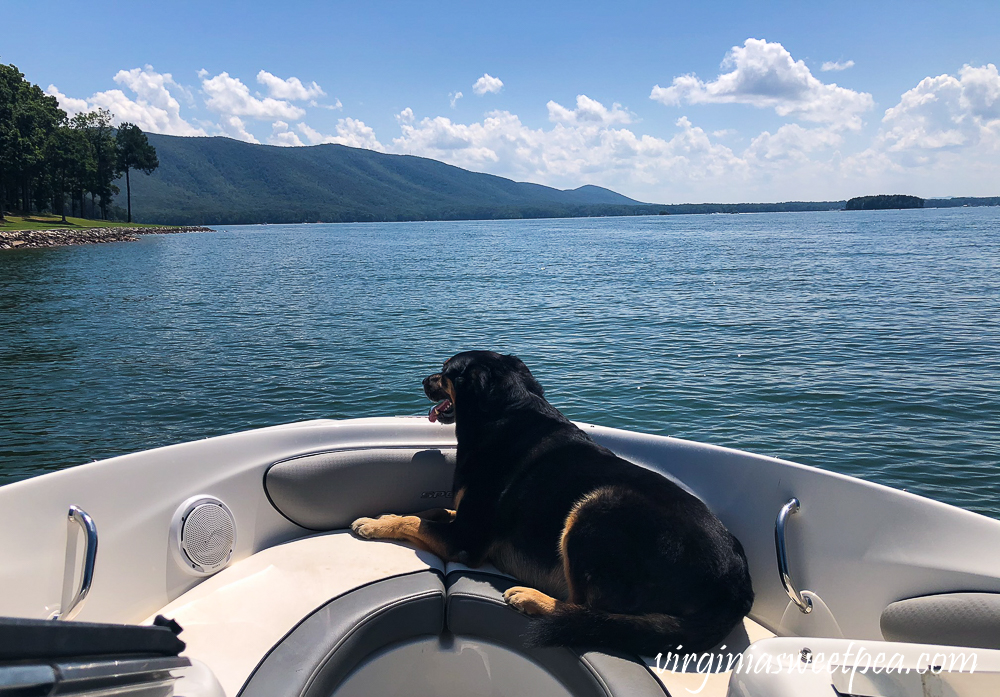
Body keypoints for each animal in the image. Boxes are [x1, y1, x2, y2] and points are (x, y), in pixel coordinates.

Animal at [352, 350, 752, 656]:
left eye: (448, 371)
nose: (423, 380)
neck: (504, 411)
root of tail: (735, 584)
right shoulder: (463, 518)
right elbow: (425, 512)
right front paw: (384, 515)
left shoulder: (466, 540)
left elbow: (417, 522)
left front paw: (372, 525)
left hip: (595, 510)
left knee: (586, 611)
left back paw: (531, 598)